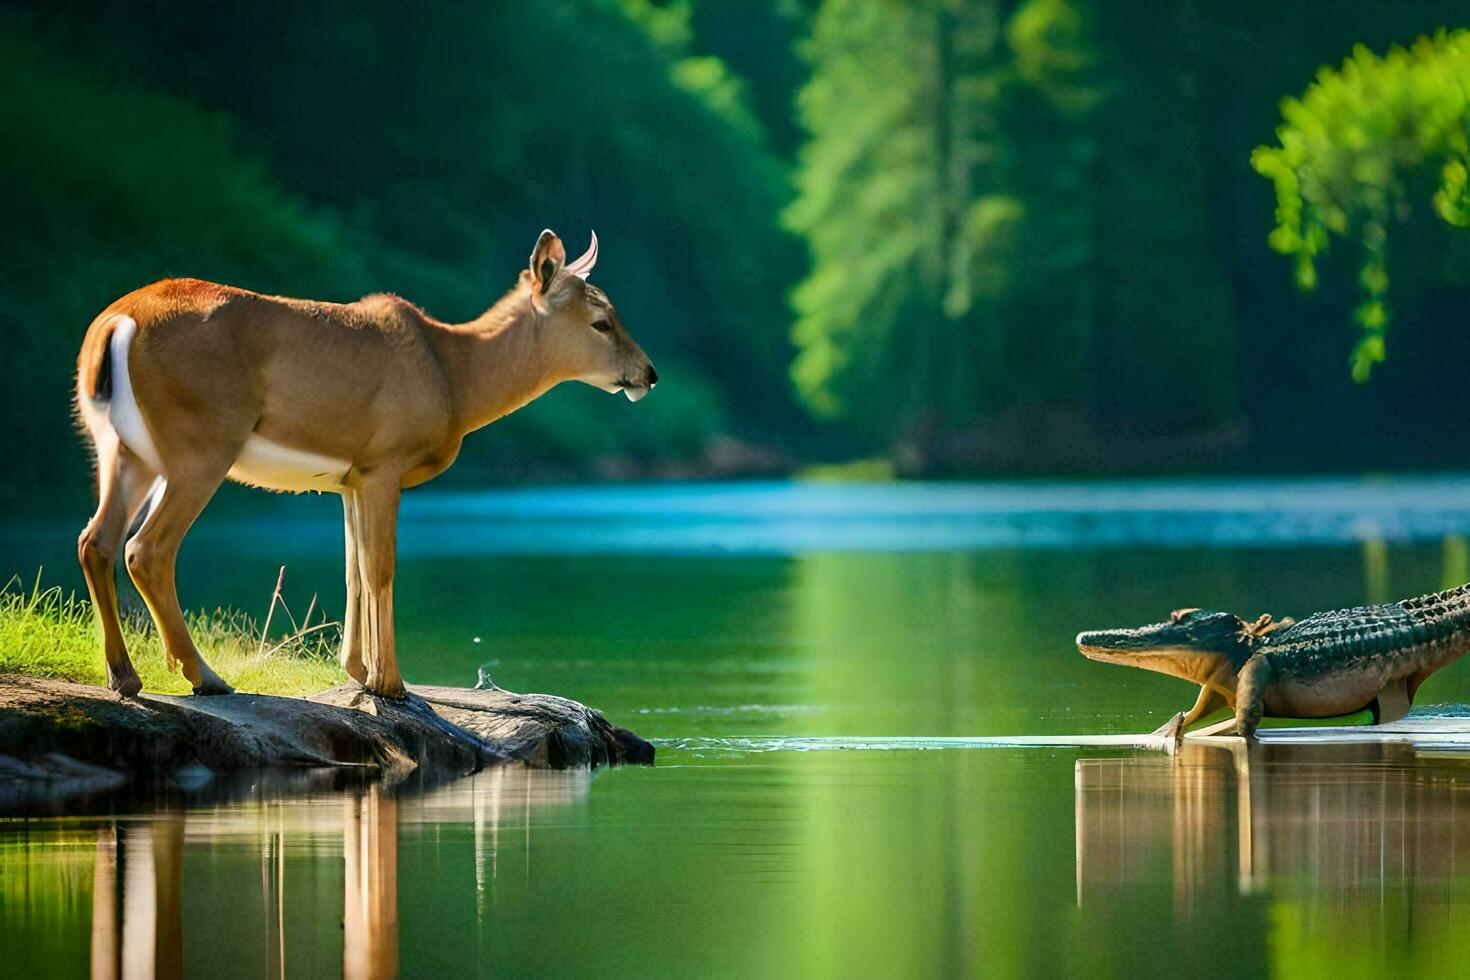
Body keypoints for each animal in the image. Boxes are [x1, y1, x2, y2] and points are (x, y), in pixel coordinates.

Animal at [73, 232, 661, 696]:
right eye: (601, 321)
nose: (648, 373)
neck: (455, 377)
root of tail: (115, 323)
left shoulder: (350, 478)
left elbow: (353, 570)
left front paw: (357, 670)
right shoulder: (385, 463)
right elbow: (382, 568)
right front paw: (391, 684)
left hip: (122, 449)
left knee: (96, 539)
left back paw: (125, 676)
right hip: (200, 442)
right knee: (147, 549)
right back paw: (205, 677)